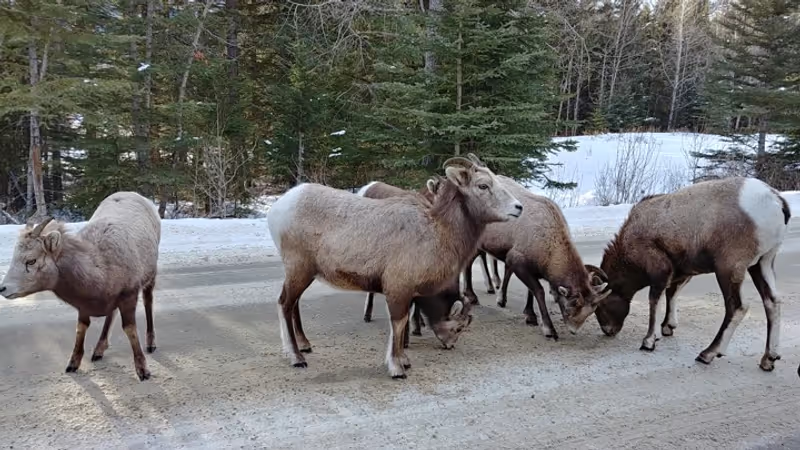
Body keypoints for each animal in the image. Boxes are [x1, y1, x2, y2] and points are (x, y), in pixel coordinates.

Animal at [0, 192, 161, 380]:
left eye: (31, 260)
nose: (3, 289)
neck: (102, 266)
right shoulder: (84, 307)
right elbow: (81, 329)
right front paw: (73, 364)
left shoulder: (129, 295)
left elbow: (130, 329)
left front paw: (143, 371)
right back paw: (99, 350)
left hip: (151, 276)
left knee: (148, 302)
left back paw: (151, 344)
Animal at [266, 155, 523, 379]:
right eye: (483, 185)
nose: (518, 207)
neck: (437, 232)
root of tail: (279, 208)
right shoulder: (398, 289)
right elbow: (398, 326)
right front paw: (397, 369)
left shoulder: (406, 292)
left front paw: (404, 362)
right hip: (299, 269)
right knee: (284, 303)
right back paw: (297, 358)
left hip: (303, 273)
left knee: (293, 304)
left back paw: (305, 345)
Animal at [460, 169, 609, 340]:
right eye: (571, 305)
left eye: (591, 311)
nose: (573, 330)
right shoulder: (518, 262)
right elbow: (538, 291)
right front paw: (548, 329)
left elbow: (529, 291)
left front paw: (529, 315)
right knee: (468, 263)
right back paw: (472, 296)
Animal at [565, 177, 790, 372]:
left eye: (600, 305)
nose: (608, 331)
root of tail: (776, 201)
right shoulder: (681, 272)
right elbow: (671, 294)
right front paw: (667, 328)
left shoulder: (659, 271)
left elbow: (654, 300)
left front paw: (649, 341)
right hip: (762, 263)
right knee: (772, 301)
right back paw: (769, 359)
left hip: (729, 269)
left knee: (737, 307)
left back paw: (707, 354)